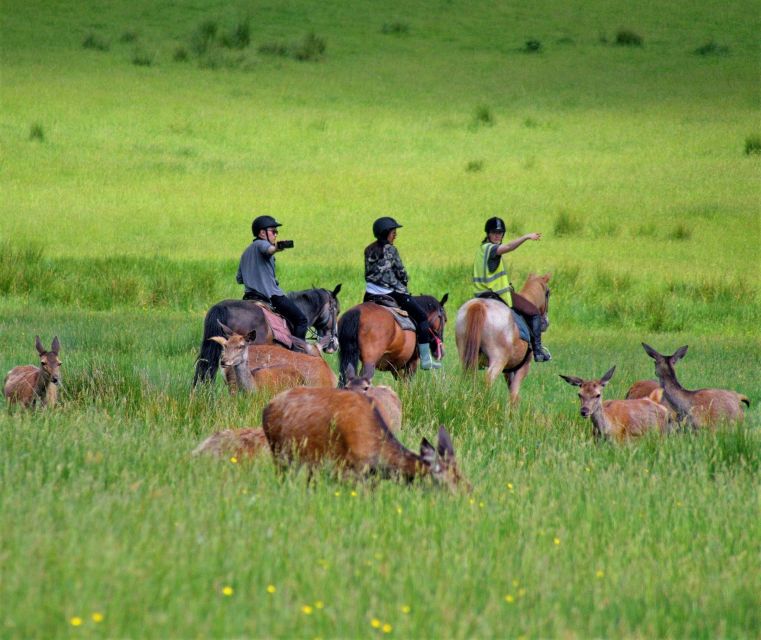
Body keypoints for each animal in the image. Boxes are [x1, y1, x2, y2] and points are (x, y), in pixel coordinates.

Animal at [455, 273, 551, 405]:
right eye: (548, 293)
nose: (546, 323)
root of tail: (480, 304)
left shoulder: (508, 369)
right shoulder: (523, 367)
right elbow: (514, 395)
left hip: (466, 354)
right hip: (498, 359)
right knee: (488, 380)